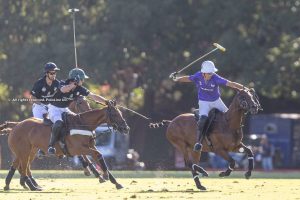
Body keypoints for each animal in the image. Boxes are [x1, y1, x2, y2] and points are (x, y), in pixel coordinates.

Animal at [1, 101, 130, 191]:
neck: (83, 124)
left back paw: (11, 185)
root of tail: (16, 126)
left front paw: (115, 182)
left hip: (27, 151)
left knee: (17, 165)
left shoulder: (89, 147)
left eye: (120, 113)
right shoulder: (78, 148)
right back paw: (31, 186)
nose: (126, 128)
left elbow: (98, 156)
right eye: (115, 114)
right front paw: (105, 175)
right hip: (24, 151)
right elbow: (97, 155)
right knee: (23, 167)